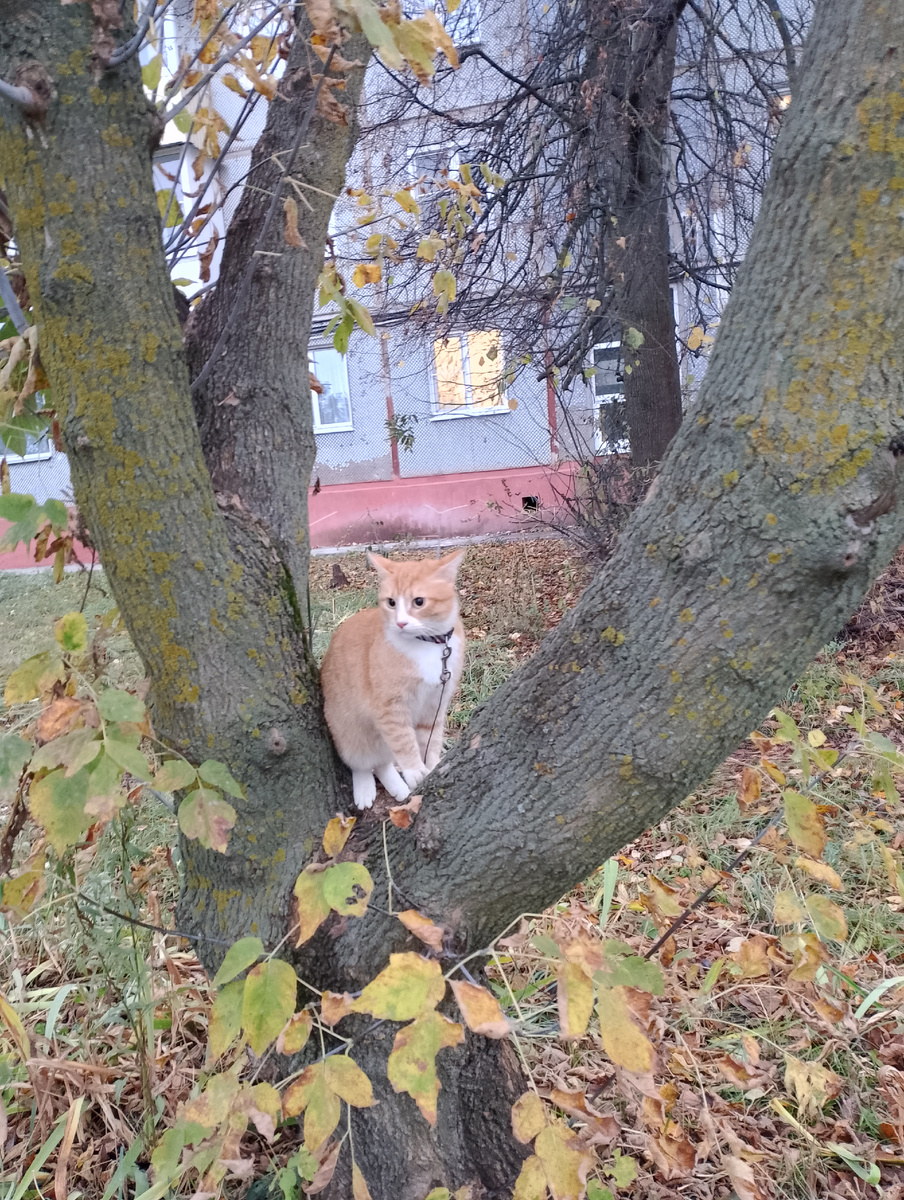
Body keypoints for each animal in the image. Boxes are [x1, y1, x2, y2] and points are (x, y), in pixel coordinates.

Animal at [321, 549, 465, 811]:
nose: (400, 623)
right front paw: (414, 770)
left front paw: (431, 765)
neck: (428, 644)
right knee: (363, 762)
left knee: (383, 762)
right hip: (350, 731)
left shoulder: (435, 704)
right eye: (391, 603)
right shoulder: (390, 709)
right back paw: (365, 789)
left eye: (419, 602)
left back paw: (397, 786)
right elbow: (404, 741)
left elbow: (431, 739)